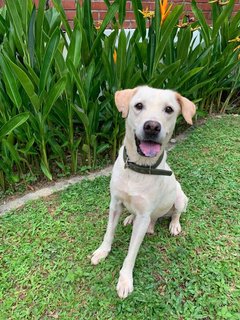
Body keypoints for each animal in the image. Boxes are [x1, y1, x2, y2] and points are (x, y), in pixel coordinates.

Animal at [90, 86, 195, 298]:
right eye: (138, 106)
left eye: (169, 109)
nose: (152, 127)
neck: (138, 168)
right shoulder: (115, 203)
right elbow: (109, 232)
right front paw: (102, 251)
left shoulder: (144, 214)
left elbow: (131, 253)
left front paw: (125, 280)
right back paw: (131, 218)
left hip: (181, 197)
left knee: (176, 213)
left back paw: (173, 225)